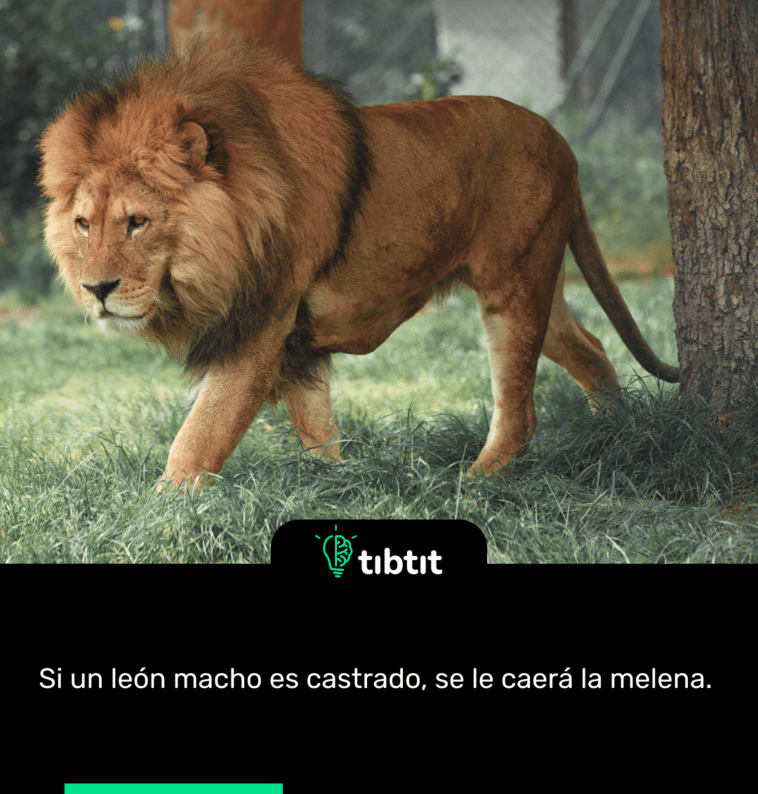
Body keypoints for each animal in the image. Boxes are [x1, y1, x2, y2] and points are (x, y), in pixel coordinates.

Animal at [39, 41, 679, 489]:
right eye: (83, 224)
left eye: (137, 222)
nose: (97, 288)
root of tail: (562, 142)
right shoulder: (293, 341)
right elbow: (316, 427)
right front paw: (337, 484)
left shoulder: (261, 325)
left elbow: (201, 434)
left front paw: (161, 510)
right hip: (536, 278)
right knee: (589, 346)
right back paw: (618, 433)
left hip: (513, 284)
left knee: (519, 409)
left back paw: (473, 484)